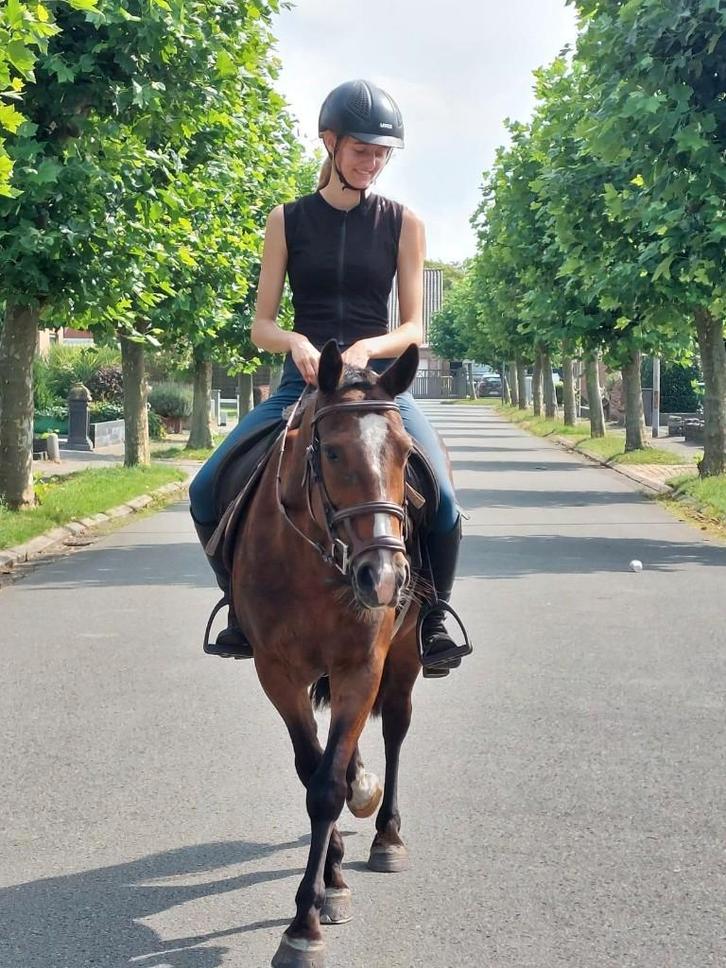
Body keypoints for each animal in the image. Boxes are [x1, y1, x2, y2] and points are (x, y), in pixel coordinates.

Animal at [232, 339, 430, 968]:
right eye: (335, 452)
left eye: (405, 453)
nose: (385, 578)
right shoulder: (277, 674)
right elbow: (313, 772)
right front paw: (328, 886)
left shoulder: (362, 665)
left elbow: (327, 785)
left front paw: (305, 924)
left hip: (404, 659)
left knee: (395, 728)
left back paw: (388, 833)